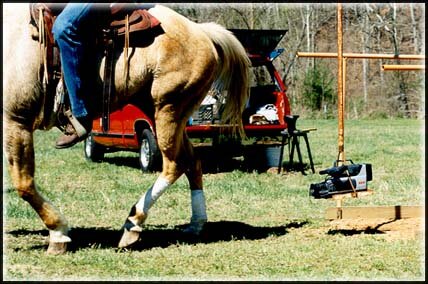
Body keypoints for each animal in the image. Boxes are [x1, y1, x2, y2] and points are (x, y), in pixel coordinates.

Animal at [3, 3, 251, 254]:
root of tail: (201, 31)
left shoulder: (15, 121)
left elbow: (24, 184)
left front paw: (58, 233)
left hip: (168, 109)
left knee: (175, 164)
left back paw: (133, 224)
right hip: (162, 111)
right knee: (192, 160)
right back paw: (196, 224)